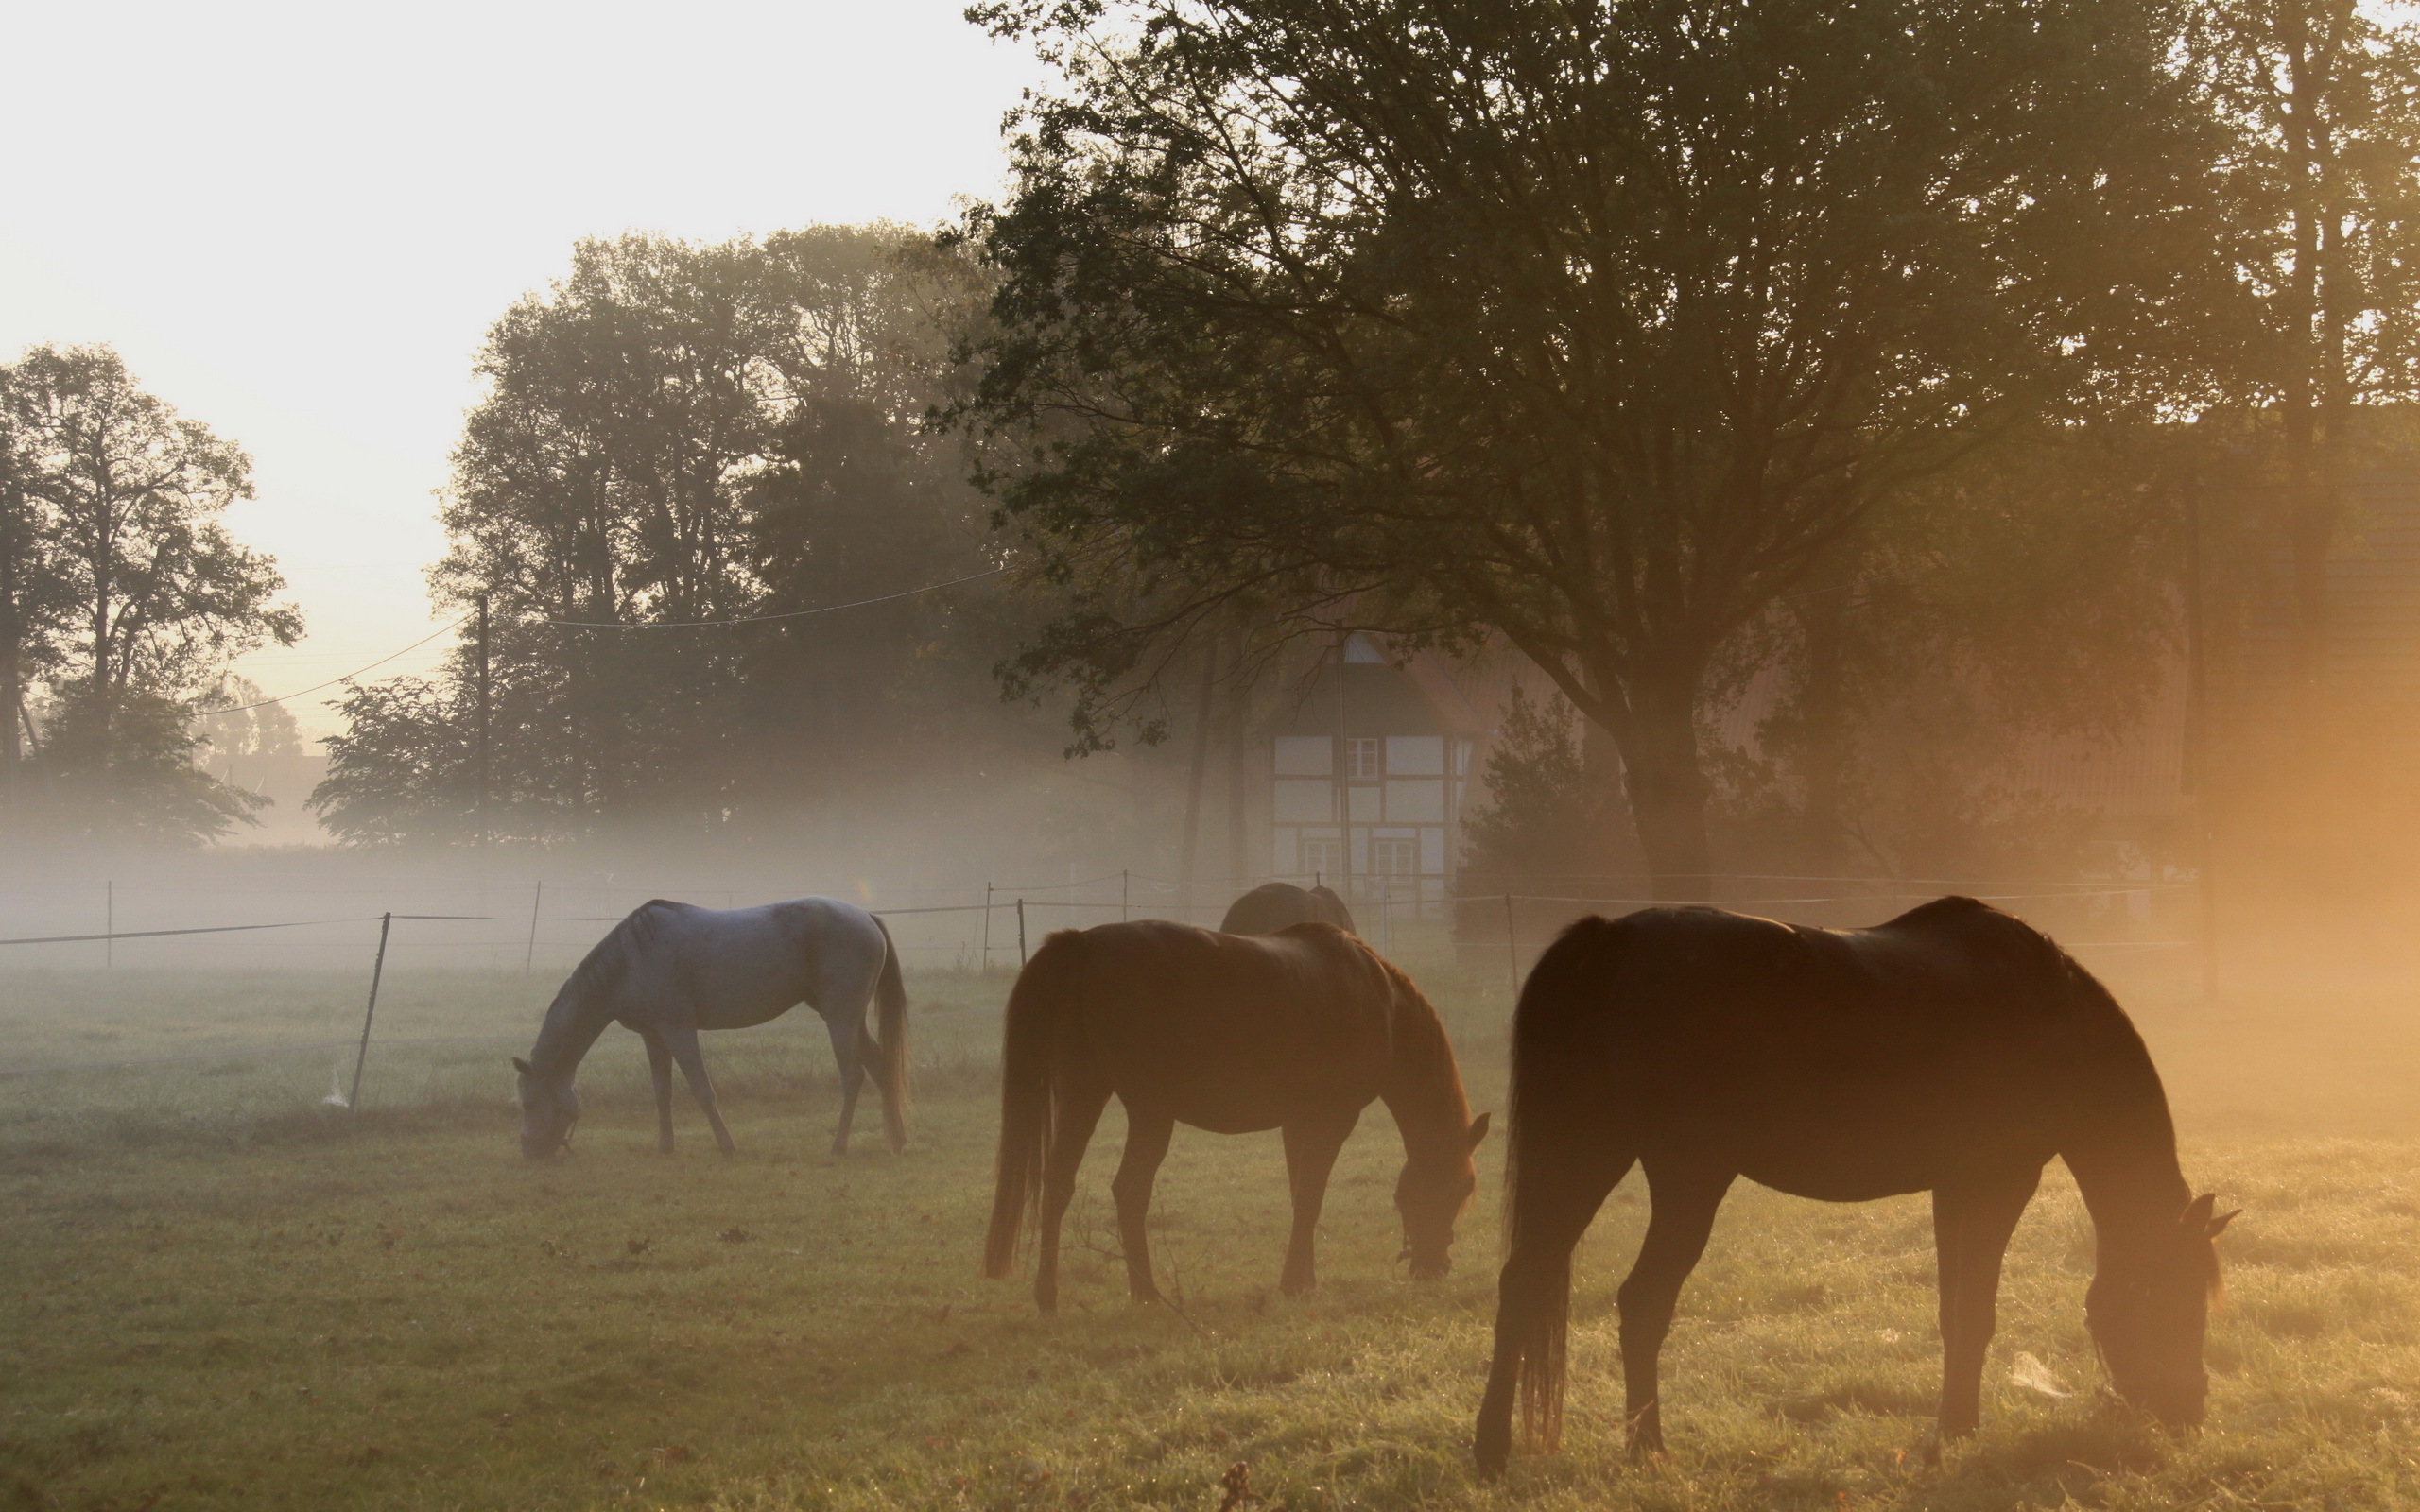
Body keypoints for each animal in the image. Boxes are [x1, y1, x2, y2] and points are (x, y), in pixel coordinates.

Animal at [512, 895, 909, 1156]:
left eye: (529, 1103)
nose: (530, 1152)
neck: (630, 959)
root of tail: (866, 916)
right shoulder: (653, 1036)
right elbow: (662, 1092)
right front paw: (665, 1147)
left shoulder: (678, 1030)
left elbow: (702, 1090)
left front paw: (726, 1145)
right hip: (851, 1019)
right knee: (881, 1068)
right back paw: (896, 1140)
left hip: (840, 1018)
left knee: (853, 1077)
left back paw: (840, 1145)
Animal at [987, 914, 1480, 1315]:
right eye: (1461, 1189)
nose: (1435, 1267)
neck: (1380, 1000)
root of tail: (1085, 944)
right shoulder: (1333, 1120)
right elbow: (1311, 1197)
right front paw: (1295, 1283)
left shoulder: (1298, 1122)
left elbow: (1301, 1194)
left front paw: (1303, 1278)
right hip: (1149, 1112)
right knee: (1129, 1191)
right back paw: (1145, 1292)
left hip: (1084, 1094)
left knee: (1059, 1186)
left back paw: (1049, 1296)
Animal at [1471, 895, 2245, 1470]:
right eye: (2174, 1297)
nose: (2190, 1412)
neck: (2052, 1014)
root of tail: (1612, 939)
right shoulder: (1999, 1185)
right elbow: (1977, 1313)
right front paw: (1956, 1431)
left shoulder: (1955, 1190)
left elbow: (1956, 1313)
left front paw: (1953, 1427)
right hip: (1685, 1180)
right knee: (1640, 1303)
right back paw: (1646, 1450)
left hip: (1587, 1155)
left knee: (1524, 1280)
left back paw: (1492, 1448)